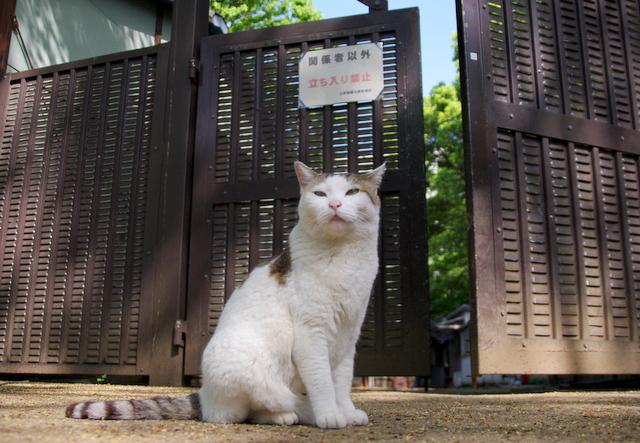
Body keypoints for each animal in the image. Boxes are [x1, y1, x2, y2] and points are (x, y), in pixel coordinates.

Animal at [66, 162, 384, 430]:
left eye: (352, 192)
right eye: (320, 193)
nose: (334, 204)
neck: (342, 258)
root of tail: (203, 393)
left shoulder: (347, 335)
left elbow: (341, 381)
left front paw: (347, 411)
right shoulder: (312, 333)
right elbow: (322, 380)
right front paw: (330, 415)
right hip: (246, 365)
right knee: (239, 413)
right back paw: (290, 414)